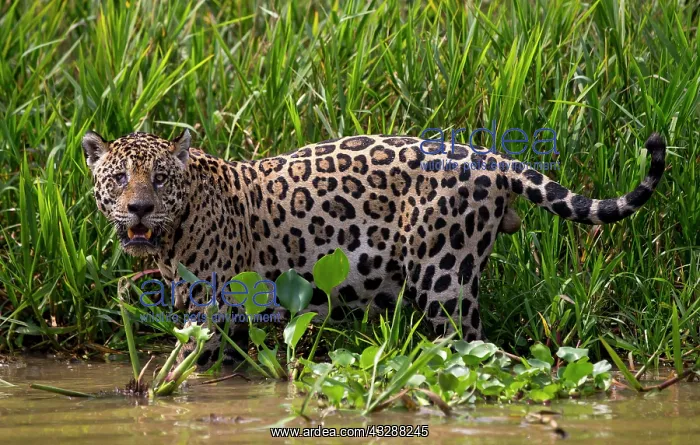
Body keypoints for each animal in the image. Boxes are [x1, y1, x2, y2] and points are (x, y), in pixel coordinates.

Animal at [82, 129, 666, 369]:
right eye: (119, 179)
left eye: (159, 179)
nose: (138, 209)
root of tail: (491, 157)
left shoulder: (215, 309)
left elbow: (183, 362)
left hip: (444, 280)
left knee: (476, 354)